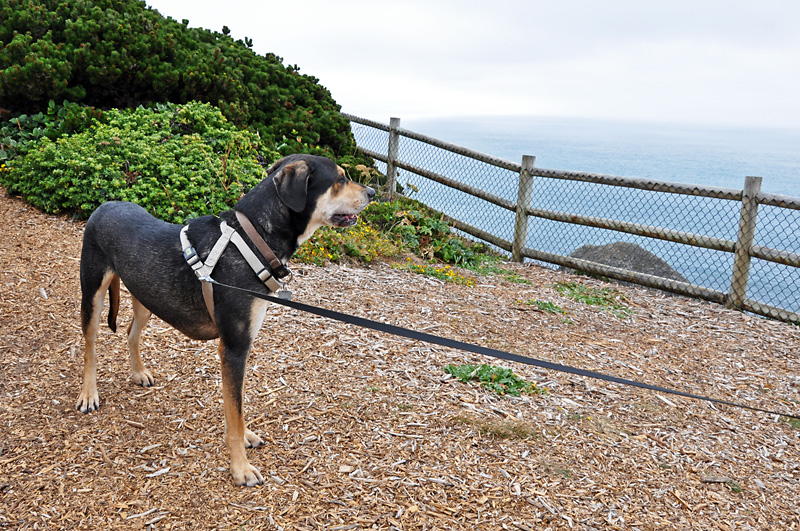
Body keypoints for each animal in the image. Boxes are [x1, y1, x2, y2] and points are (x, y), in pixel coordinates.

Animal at [76, 154, 376, 486]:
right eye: (339, 179)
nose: (373, 193)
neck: (253, 239)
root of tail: (105, 205)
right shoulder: (234, 347)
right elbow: (235, 410)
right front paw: (240, 468)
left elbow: (238, 405)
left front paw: (245, 439)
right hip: (93, 293)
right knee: (90, 347)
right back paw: (88, 393)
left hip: (148, 296)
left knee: (131, 332)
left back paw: (138, 372)